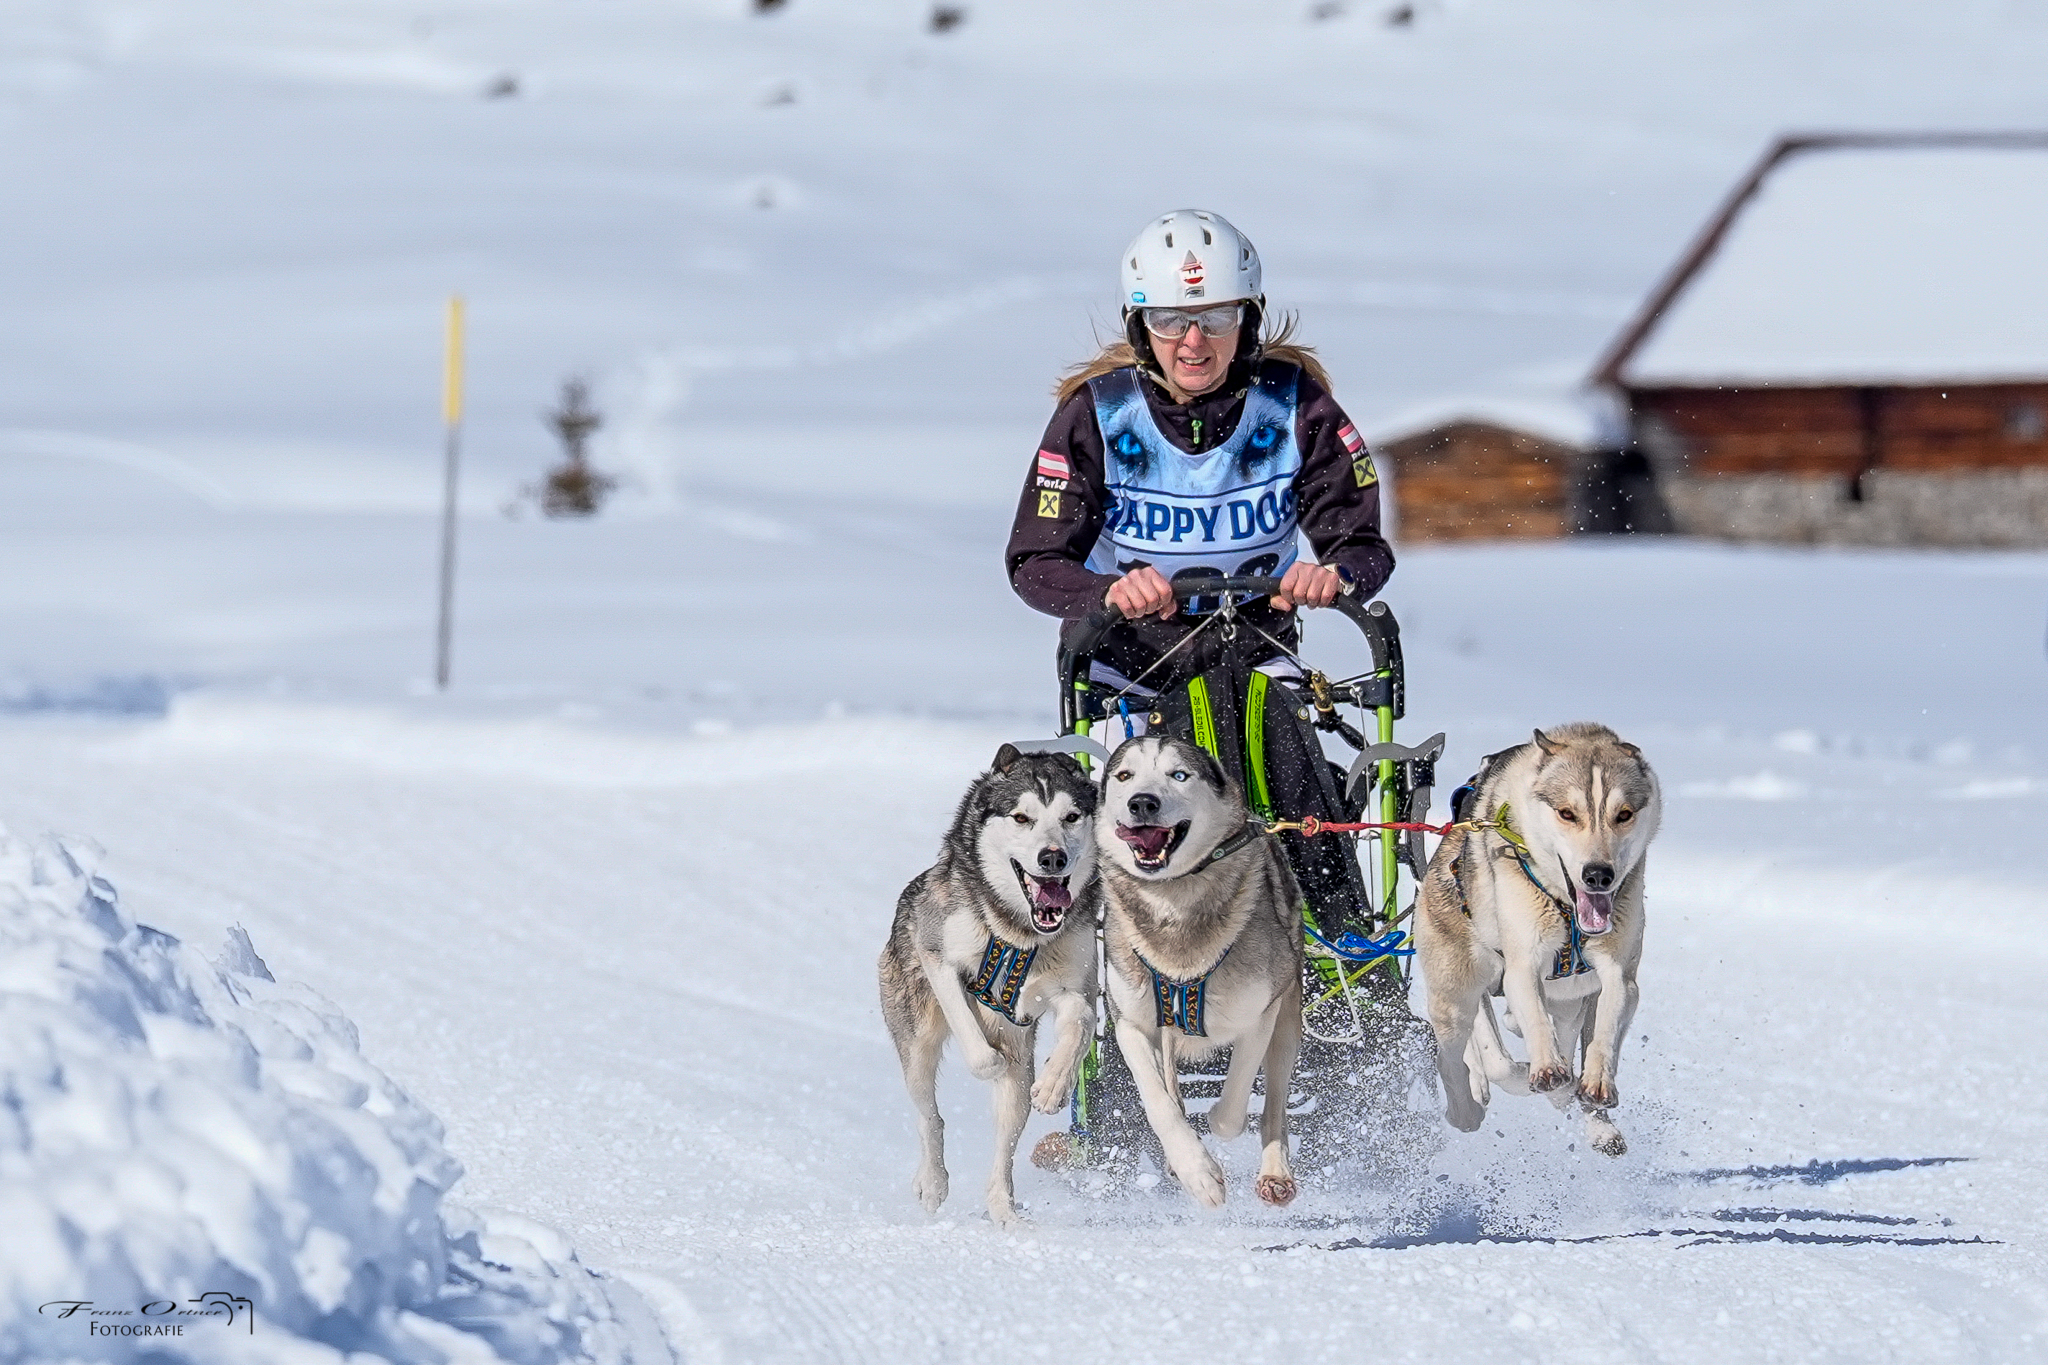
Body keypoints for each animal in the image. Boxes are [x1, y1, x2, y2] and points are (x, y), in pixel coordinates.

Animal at [877, 743, 1101, 1226]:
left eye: (1072, 816)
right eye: (1021, 817)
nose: (1052, 858)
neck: (1019, 933)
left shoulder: (1073, 985)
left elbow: (1082, 1020)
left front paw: (1056, 1083)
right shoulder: (939, 958)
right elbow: (974, 1044)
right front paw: (990, 1062)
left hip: (1015, 1093)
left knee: (1005, 1145)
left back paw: (1005, 1214)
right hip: (916, 1043)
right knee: (929, 1116)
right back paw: (932, 1182)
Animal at [1095, 734, 1304, 1207]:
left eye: (1179, 774)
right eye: (1124, 775)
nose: (1142, 802)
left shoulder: (1260, 1013)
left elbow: (1231, 1111)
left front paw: (1213, 1123)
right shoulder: (1131, 1021)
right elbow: (1159, 1102)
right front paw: (1196, 1170)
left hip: (1288, 1019)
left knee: (1275, 1104)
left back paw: (1275, 1173)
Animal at [1415, 724, 1661, 1156]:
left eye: (1624, 815)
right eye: (1567, 813)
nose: (1599, 875)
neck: (1568, 912)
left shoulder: (1618, 974)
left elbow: (1606, 1027)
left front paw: (1595, 1083)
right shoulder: (1522, 965)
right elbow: (1529, 1020)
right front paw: (1545, 1068)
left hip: (1570, 1002)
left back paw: (1594, 1119)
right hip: (1456, 995)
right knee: (1461, 1055)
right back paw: (1470, 1105)